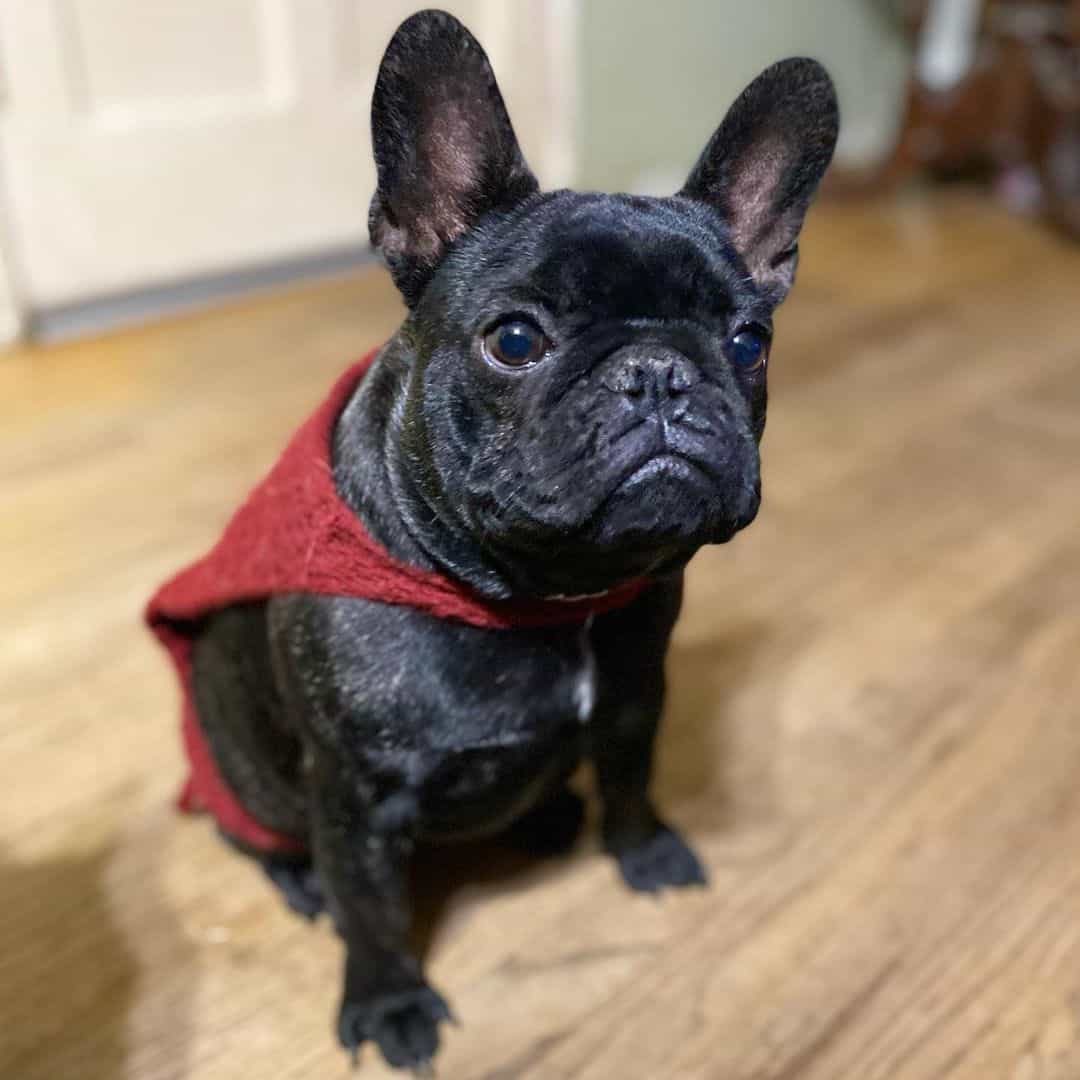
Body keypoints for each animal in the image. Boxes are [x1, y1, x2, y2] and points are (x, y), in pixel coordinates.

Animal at [154, 8, 833, 1071]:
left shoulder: (635, 702)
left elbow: (631, 781)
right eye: (515, 340)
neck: (548, 595)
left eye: (748, 343)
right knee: (260, 838)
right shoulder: (358, 803)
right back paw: (299, 879)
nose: (657, 372)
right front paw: (389, 1001)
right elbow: (373, 915)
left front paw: (643, 849)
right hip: (248, 781)